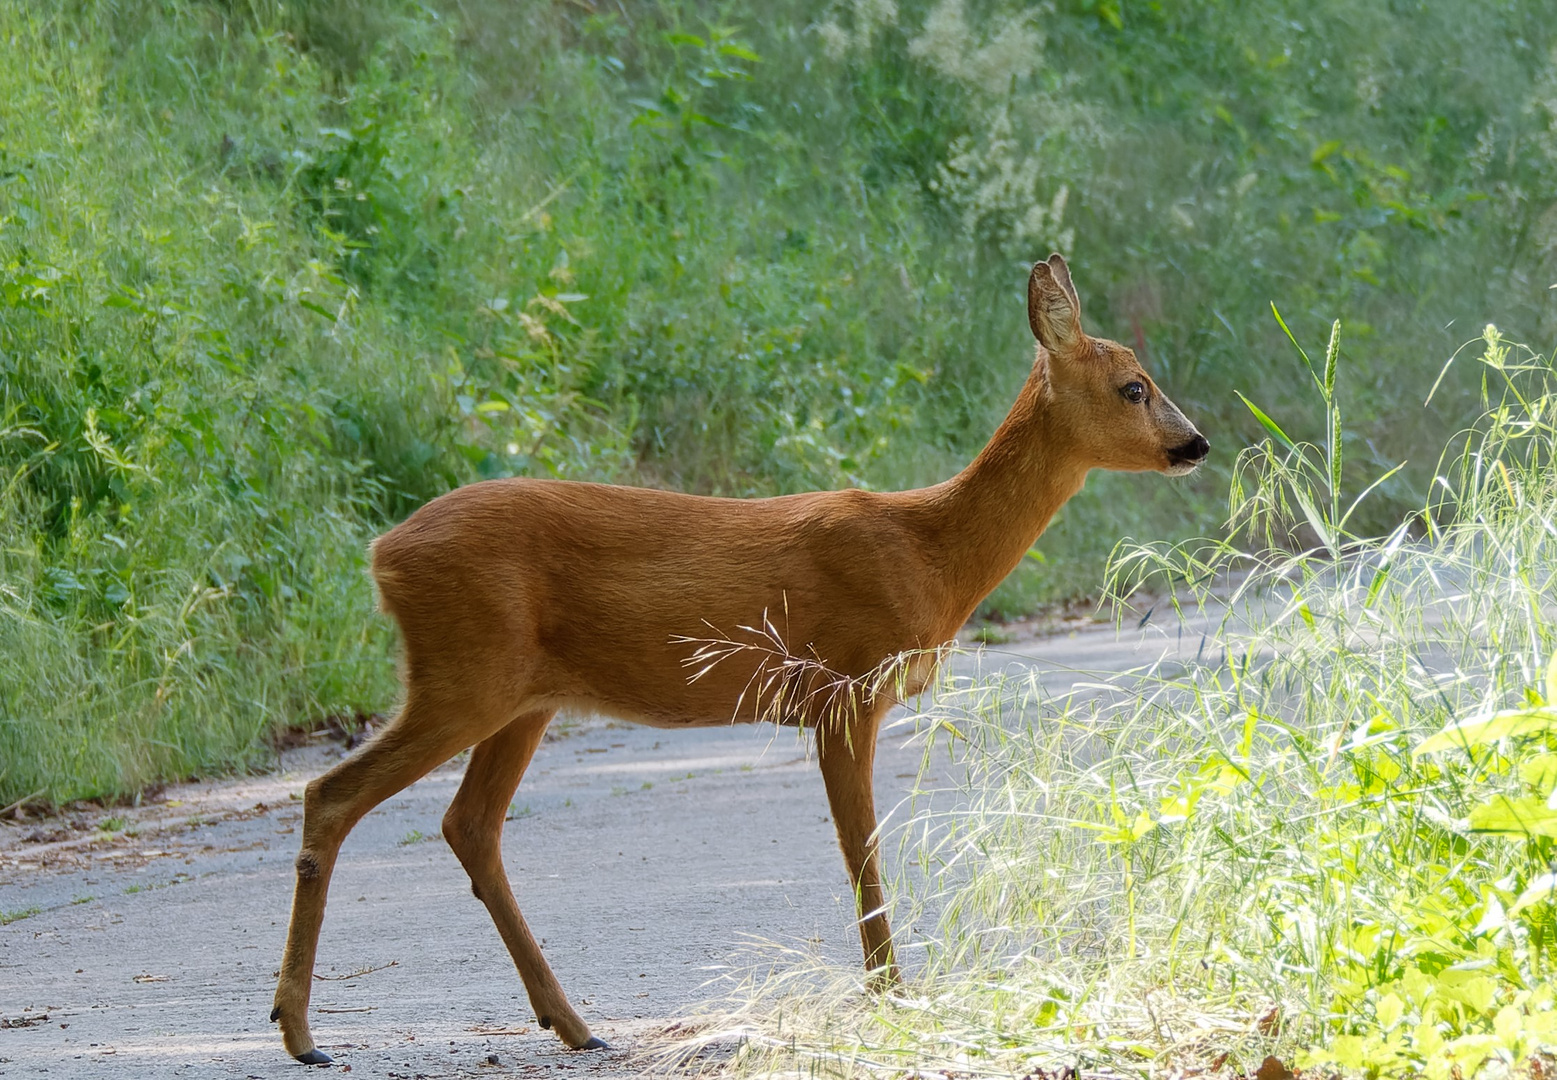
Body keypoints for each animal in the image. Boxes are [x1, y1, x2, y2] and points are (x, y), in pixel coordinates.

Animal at [274, 255, 1208, 1064]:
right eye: (1133, 387)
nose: (1194, 442)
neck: (929, 556)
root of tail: (382, 555)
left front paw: (888, 990)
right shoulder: (841, 687)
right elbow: (863, 854)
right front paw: (890, 994)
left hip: (522, 697)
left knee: (468, 823)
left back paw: (573, 1024)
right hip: (464, 674)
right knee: (333, 795)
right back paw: (300, 1031)